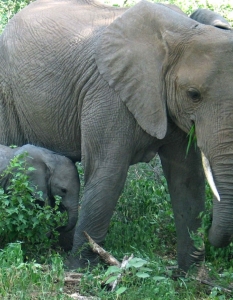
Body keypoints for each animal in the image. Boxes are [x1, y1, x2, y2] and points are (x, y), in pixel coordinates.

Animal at [0, 0, 233, 272]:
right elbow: (108, 173)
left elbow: (186, 178)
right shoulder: (109, 94)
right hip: (7, 91)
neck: (184, 29)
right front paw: (80, 270)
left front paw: (190, 276)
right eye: (193, 94)